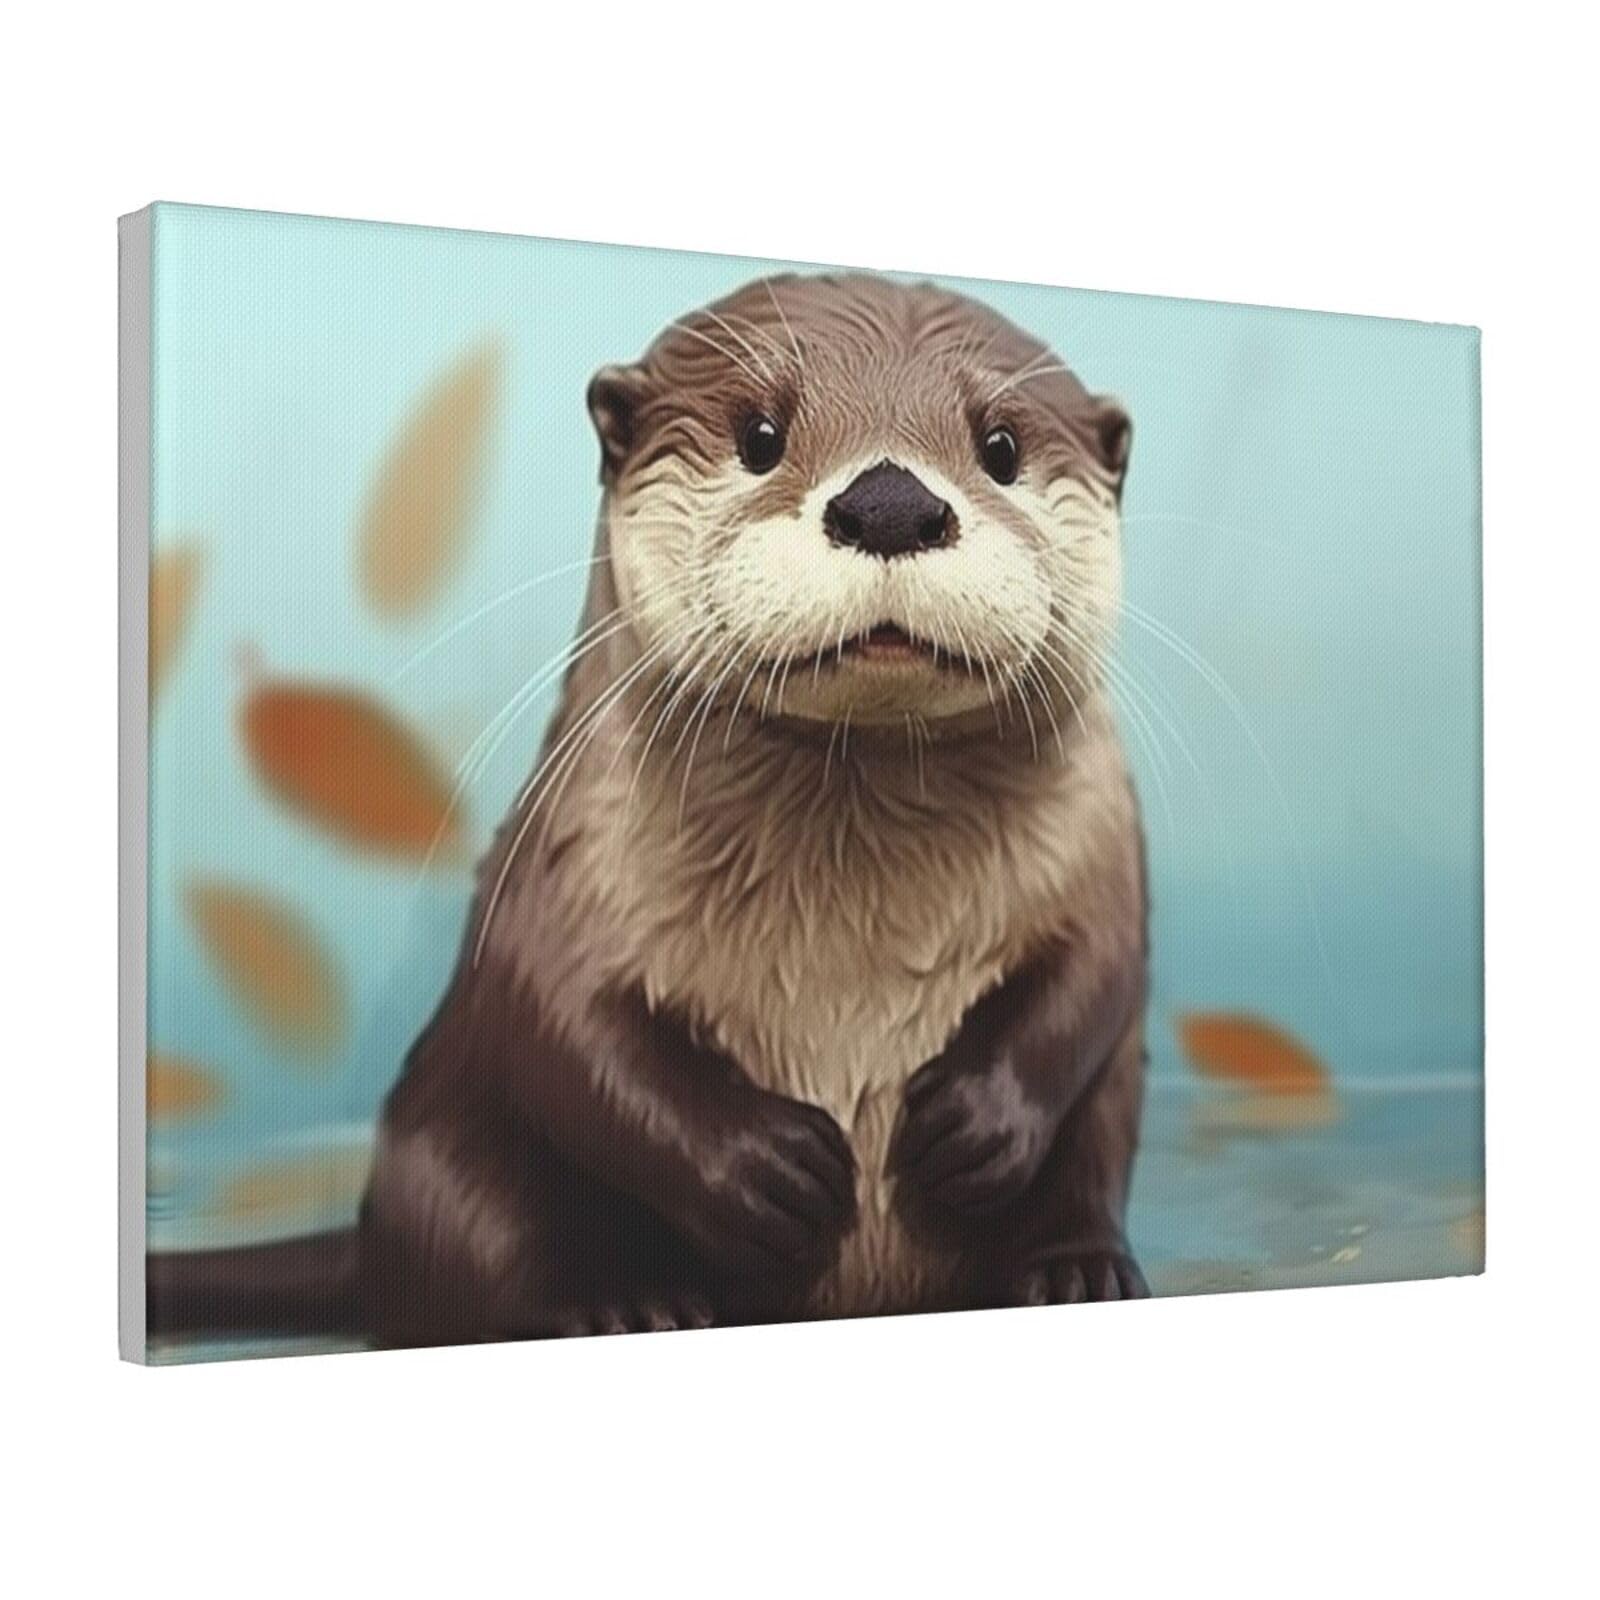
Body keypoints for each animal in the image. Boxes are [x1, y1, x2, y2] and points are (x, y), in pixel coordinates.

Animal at [148, 273, 1149, 1347]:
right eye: (760, 433)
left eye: (1000, 446)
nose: (890, 503)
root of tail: (370, 1241)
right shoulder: (568, 854)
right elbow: (563, 1017)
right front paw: (766, 1169)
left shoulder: (1102, 841)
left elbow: (1094, 976)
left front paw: (976, 1120)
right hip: (453, 1161)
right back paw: (625, 1301)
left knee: (1089, 1153)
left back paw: (1075, 1269)